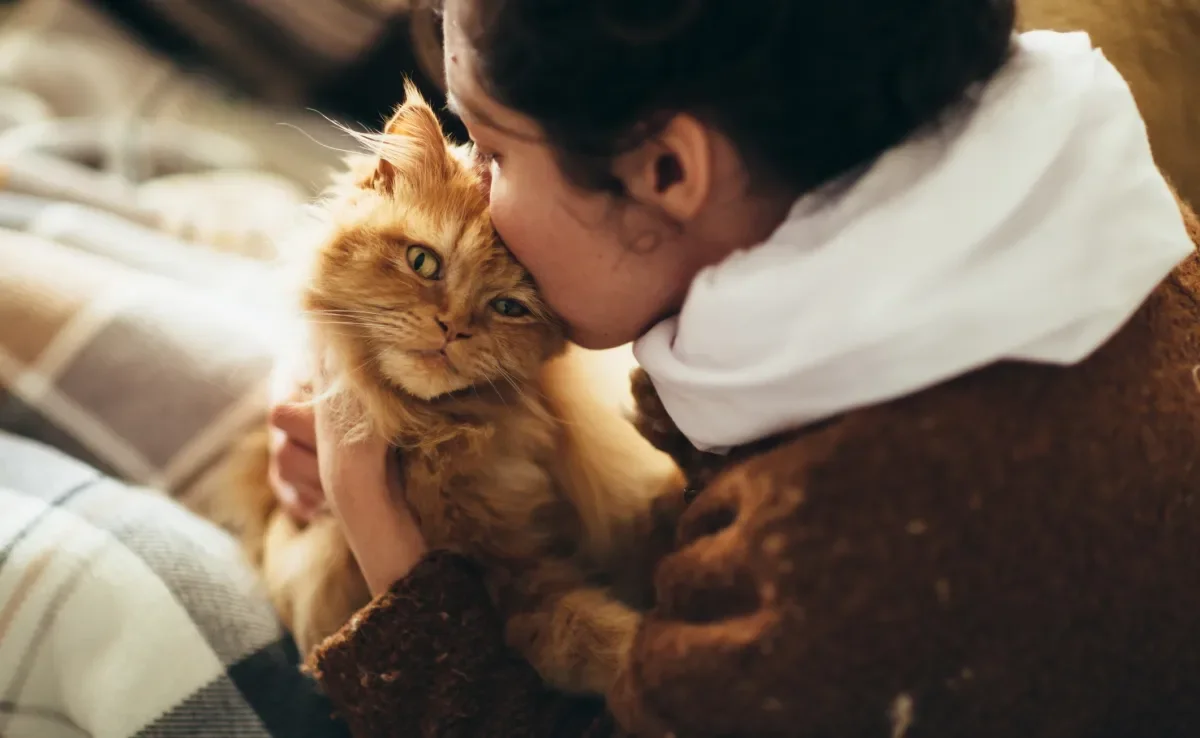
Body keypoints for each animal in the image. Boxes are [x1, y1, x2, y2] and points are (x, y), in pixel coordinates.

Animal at [218, 85, 686, 700]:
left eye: (508, 307)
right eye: (423, 261)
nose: (452, 329)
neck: (442, 438)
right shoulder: (505, 583)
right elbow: (591, 636)